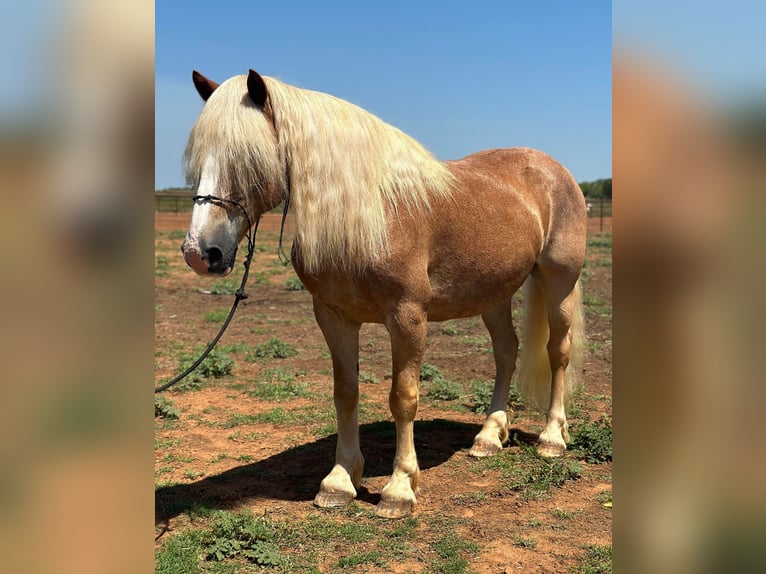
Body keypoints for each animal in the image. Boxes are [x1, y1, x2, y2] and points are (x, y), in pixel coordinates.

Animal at [180, 70, 588, 520]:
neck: (371, 215)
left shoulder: (407, 317)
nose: (200, 252)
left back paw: (552, 438)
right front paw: (340, 482)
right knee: (506, 352)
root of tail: (553, 169)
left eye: (248, 159)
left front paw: (399, 488)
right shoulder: (333, 317)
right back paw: (488, 437)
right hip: (494, 293)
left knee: (557, 351)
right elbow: (346, 393)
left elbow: (403, 398)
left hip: (559, 281)